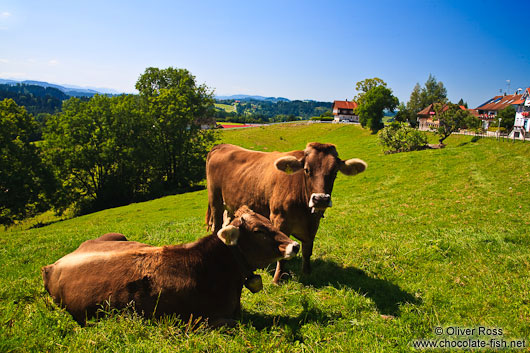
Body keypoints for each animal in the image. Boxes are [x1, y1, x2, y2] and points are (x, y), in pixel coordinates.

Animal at [204, 142, 366, 282]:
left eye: (334, 172)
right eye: (307, 170)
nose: (321, 199)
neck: (305, 212)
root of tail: (222, 145)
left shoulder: (313, 225)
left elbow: (307, 250)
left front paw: (306, 273)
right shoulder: (280, 221)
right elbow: (283, 255)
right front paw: (278, 279)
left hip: (231, 206)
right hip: (215, 201)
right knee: (216, 227)